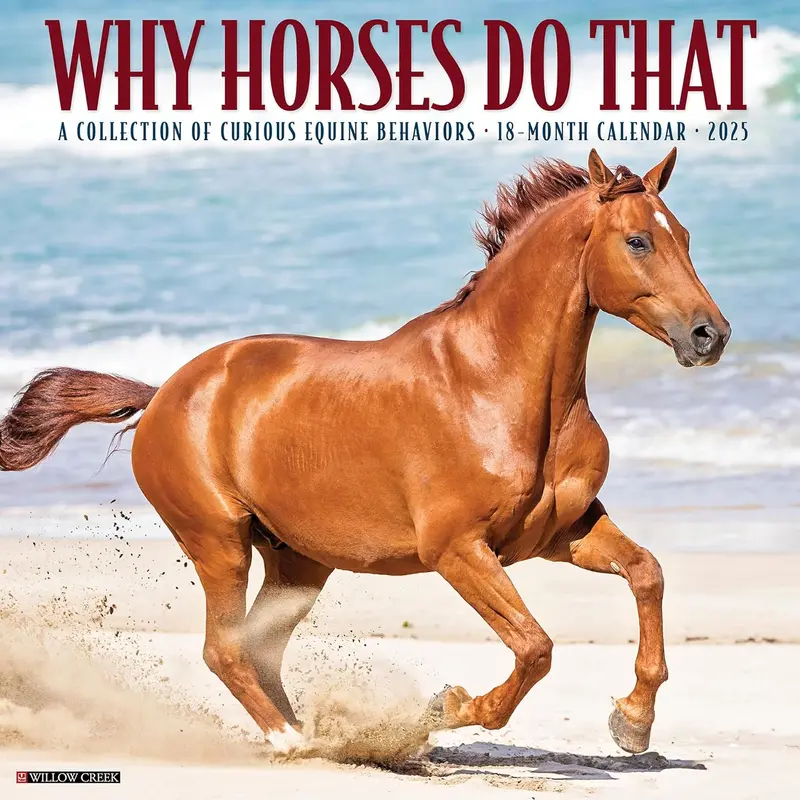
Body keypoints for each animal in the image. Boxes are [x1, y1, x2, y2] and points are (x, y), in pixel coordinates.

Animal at [0, 148, 729, 755]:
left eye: (686, 236)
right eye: (637, 240)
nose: (710, 335)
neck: (493, 383)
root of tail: (162, 395)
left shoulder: (563, 533)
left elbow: (647, 573)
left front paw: (633, 721)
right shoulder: (457, 550)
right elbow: (535, 647)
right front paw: (447, 708)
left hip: (299, 562)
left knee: (259, 650)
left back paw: (318, 733)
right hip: (220, 542)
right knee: (224, 650)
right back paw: (294, 742)